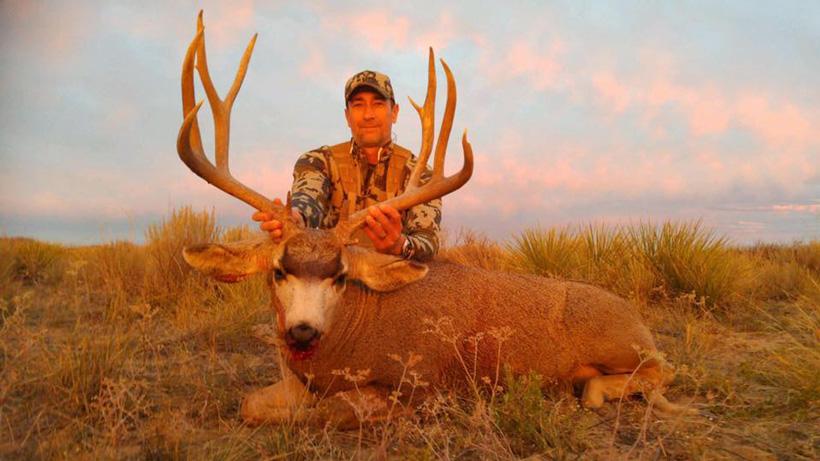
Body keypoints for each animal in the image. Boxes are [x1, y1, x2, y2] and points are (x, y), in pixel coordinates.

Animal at [177, 13, 693, 428]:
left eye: (340, 275)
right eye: (279, 270)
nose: (302, 331)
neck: (353, 330)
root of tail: (636, 317)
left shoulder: (421, 386)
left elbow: (329, 411)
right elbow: (250, 405)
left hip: (619, 342)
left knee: (663, 368)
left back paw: (594, 391)